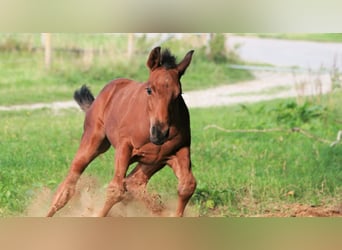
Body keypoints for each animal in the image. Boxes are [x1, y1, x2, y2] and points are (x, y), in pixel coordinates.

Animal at [46, 47, 196, 217]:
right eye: (149, 90)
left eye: (179, 94)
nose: (159, 133)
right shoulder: (124, 148)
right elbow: (115, 190)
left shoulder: (180, 150)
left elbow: (187, 186)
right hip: (94, 142)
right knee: (69, 183)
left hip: (153, 161)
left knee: (134, 182)